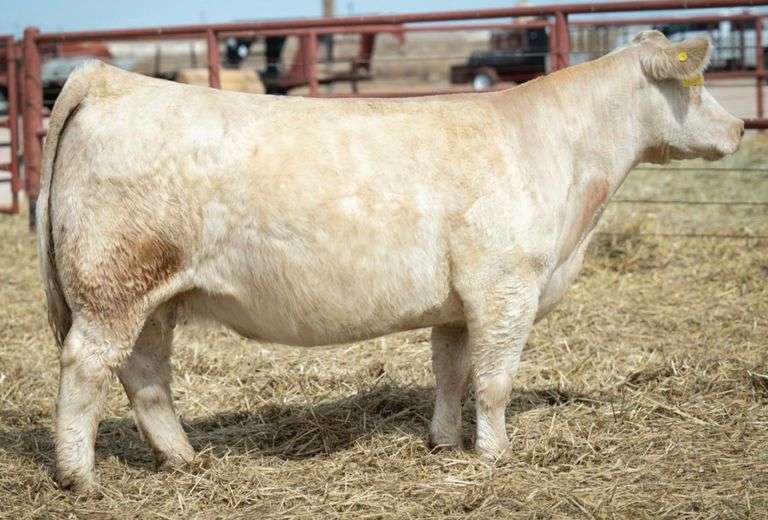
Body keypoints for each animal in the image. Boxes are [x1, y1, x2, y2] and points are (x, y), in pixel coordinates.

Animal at [38, 31, 743, 492]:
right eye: (696, 83)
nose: (740, 129)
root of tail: (108, 78)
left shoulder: (460, 304)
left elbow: (451, 372)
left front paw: (444, 441)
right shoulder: (506, 288)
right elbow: (495, 382)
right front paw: (494, 455)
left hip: (153, 296)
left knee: (146, 374)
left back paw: (184, 459)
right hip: (113, 286)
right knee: (86, 367)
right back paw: (80, 478)